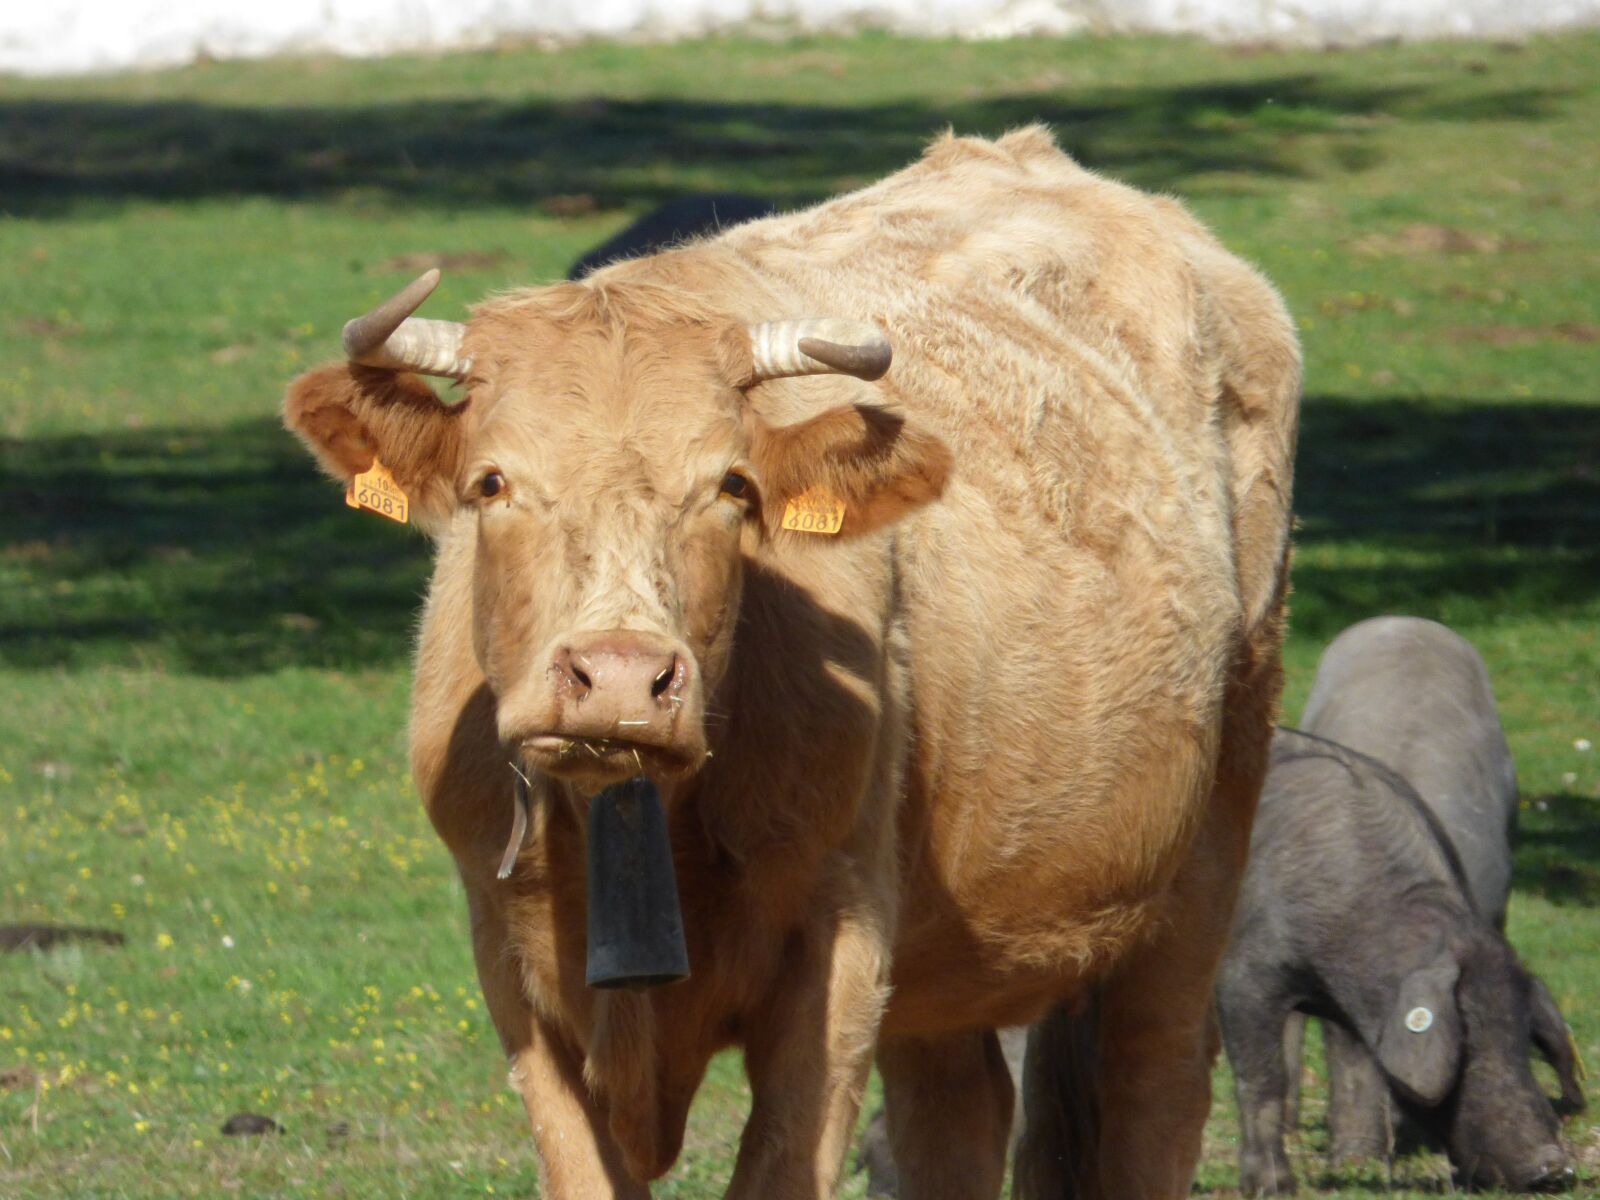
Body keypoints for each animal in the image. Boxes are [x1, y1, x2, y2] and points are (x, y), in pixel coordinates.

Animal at [282, 126, 1300, 1200]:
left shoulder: (838, 943)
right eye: (490, 482)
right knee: (957, 1109)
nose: (619, 679)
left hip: (1211, 826)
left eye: (732, 485)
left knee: (1155, 1082)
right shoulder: (509, 960)